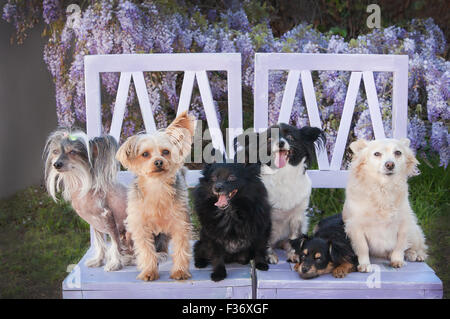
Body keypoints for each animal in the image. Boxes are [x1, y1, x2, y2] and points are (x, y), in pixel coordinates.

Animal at [43, 130, 133, 272]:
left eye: (72, 152)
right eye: (55, 151)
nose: (56, 164)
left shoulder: (109, 220)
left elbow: (115, 244)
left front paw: (114, 263)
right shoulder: (95, 223)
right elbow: (100, 243)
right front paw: (98, 260)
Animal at [115, 112, 194, 282]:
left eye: (166, 152)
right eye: (145, 154)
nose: (158, 162)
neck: (157, 185)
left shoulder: (180, 222)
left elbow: (181, 247)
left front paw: (180, 271)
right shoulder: (140, 226)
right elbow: (146, 250)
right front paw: (149, 271)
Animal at [234, 124, 326, 266]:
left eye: (290, 137)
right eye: (269, 139)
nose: (281, 143)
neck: (283, 174)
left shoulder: (297, 217)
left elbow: (295, 236)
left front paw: (294, 254)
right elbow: (266, 239)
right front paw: (269, 256)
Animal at [342, 138, 428, 272]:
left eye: (398, 153)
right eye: (377, 154)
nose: (390, 164)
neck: (384, 188)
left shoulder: (404, 225)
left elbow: (400, 246)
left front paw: (397, 260)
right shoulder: (356, 227)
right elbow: (363, 248)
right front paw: (365, 264)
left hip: (413, 231)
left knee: (418, 245)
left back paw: (416, 254)